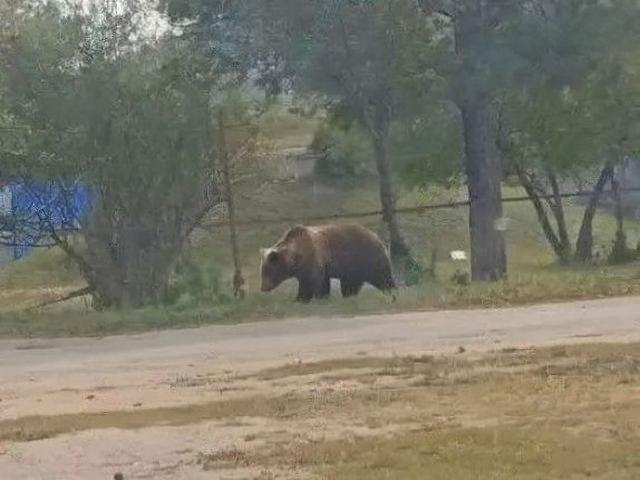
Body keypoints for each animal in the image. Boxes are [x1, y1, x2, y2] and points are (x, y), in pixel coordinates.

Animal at [260, 223, 396, 302]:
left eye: (267, 271)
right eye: (262, 271)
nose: (263, 288)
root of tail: (377, 237)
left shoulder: (314, 259)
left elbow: (312, 283)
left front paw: (302, 299)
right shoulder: (313, 267)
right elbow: (321, 283)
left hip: (367, 257)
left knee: (382, 278)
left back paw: (392, 293)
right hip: (352, 267)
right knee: (350, 283)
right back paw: (349, 297)